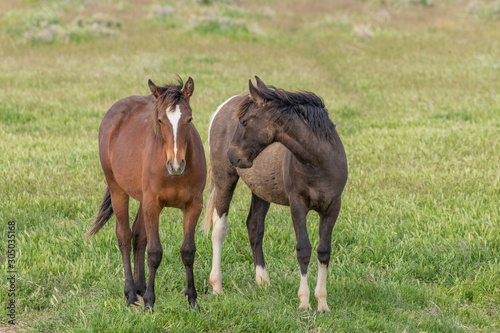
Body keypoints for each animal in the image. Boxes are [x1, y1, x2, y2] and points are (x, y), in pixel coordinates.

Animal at [87, 76, 206, 308]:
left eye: (189, 119)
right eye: (160, 120)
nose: (176, 165)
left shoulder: (194, 206)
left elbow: (188, 251)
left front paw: (192, 300)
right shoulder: (153, 205)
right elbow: (154, 252)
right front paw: (150, 301)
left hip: (142, 199)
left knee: (138, 236)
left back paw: (140, 287)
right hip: (118, 190)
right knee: (124, 236)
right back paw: (131, 294)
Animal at [202, 77, 348, 312]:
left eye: (244, 121)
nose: (232, 155)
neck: (320, 162)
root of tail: (222, 107)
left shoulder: (333, 207)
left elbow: (324, 251)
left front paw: (323, 304)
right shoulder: (298, 205)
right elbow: (303, 249)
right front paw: (304, 302)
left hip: (260, 191)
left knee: (254, 226)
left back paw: (263, 280)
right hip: (225, 180)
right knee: (219, 228)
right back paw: (217, 286)